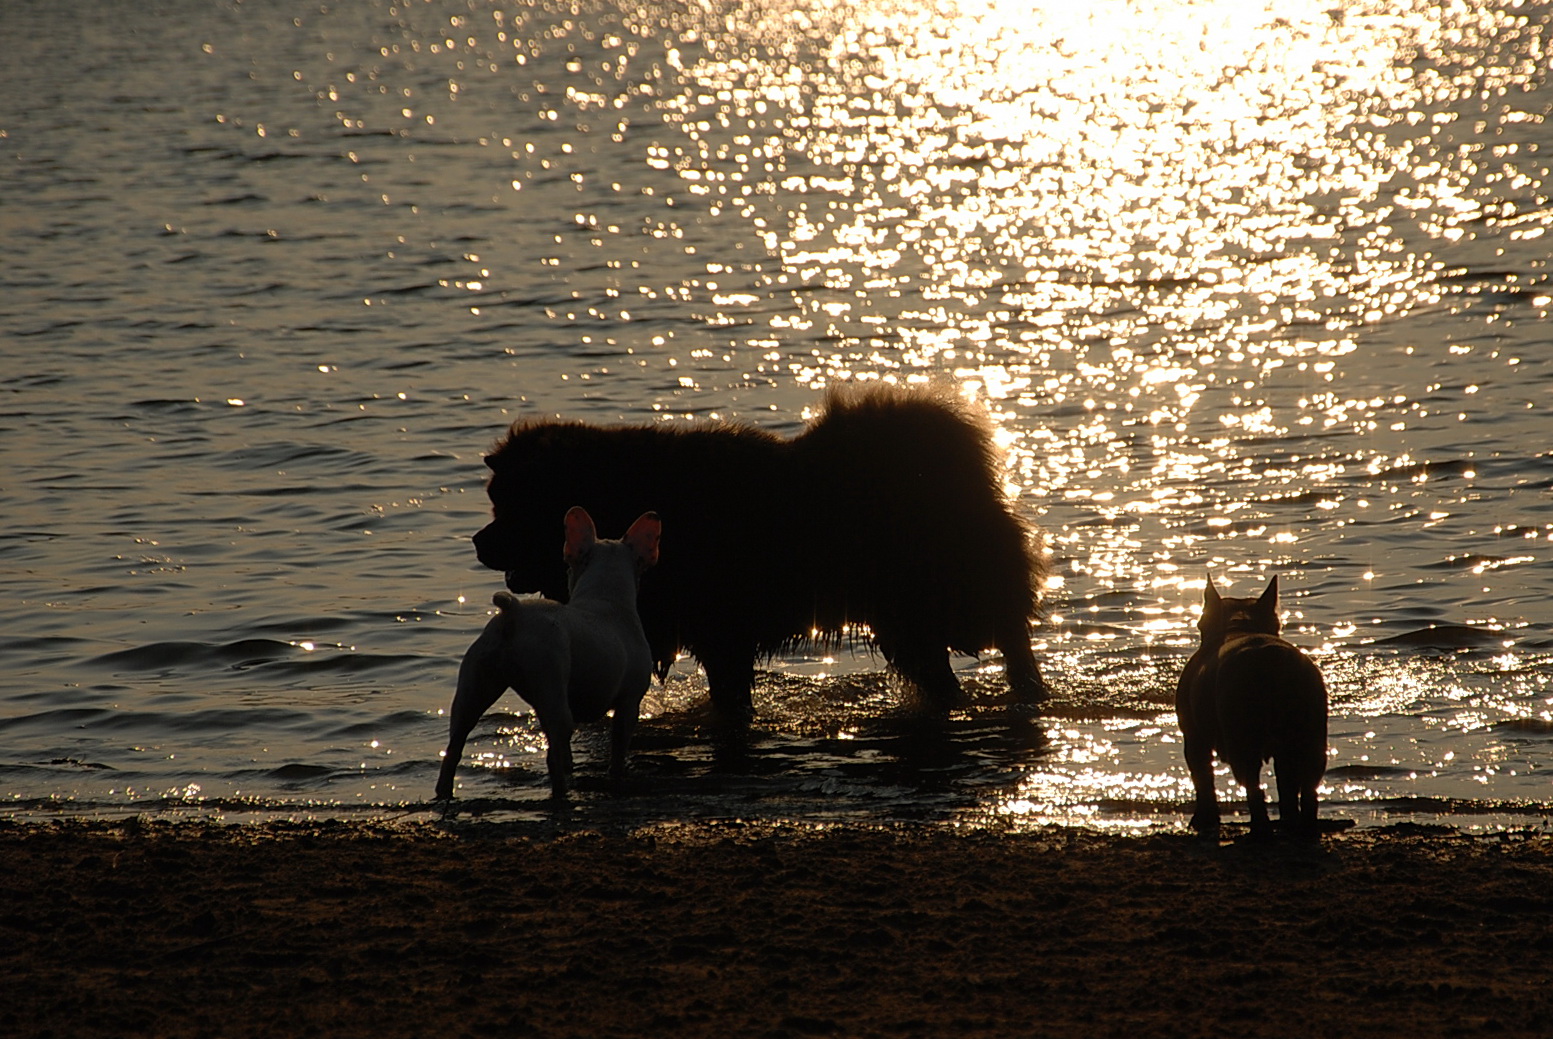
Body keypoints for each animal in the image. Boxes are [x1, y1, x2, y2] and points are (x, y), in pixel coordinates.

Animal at [434, 506, 658, 801]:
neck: (605, 596)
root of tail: (513, 615)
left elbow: (567, 753)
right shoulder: (629, 704)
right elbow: (618, 750)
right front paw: (617, 774)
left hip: (475, 688)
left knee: (454, 747)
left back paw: (444, 793)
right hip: (550, 683)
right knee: (553, 755)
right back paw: (562, 794)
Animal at [472, 380, 1049, 714]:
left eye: (509, 507)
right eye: (494, 502)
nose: (477, 541)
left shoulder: (721, 635)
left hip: (947, 602)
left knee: (1008, 642)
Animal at [1180, 574, 1329, 832]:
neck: (1240, 626)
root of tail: (1269, 658)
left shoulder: (1194, 740)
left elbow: (1204, 783)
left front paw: (1204, 820)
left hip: (1242, 742)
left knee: (1253, 788)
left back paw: (1261, 828)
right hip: (1311, 741)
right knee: (1305, 789)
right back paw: (1298, 826)